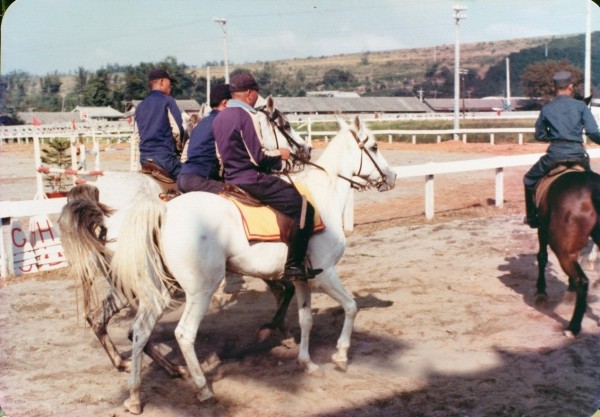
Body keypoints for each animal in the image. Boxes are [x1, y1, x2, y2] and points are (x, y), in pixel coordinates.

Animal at [59, 96, 314, 376]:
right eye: (286, 125)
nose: (307, 149)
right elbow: (282, 290)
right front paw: (277, 330)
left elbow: (282, 290)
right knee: (129, 327)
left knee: (101, 318)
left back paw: (130, 362)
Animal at [102, 114, 398, 412]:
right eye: (373, 147)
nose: (392, 176)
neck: (321, 198)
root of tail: (164, 210)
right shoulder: (324, 275)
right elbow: (351, 307)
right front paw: (340, 355)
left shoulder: (302, 279)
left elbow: (306, 320)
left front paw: (308, 363)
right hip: (201, 290)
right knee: (184, 334)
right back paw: (202, 388)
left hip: (160, 290)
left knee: (140, 331)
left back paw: (135, 396)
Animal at [536, 164, 600, 336]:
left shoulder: (542, 228)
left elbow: (542, 256)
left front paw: (541, 292)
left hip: (562, 251)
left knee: (582, 281)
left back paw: (573, 327)